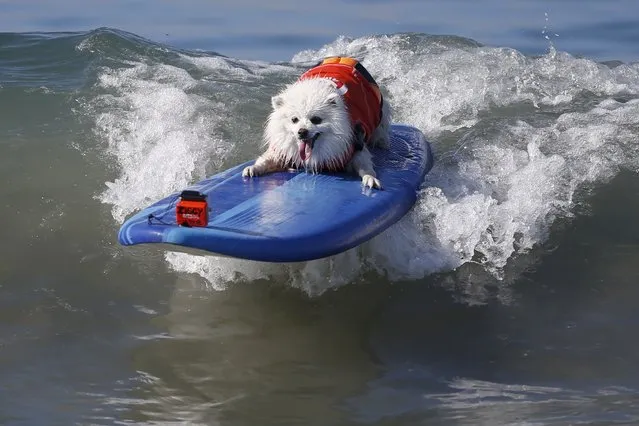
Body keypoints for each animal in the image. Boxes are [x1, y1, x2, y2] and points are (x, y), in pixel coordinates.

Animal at [241, 55, 390, 189]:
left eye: (316, 120)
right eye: (294, 120)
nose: (302, 132)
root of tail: (341, 58)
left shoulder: (355, 145)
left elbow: (365, 166)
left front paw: (370, 178)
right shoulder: (284, 151)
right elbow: (266, 159)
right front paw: (253, 168)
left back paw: (382, 143)